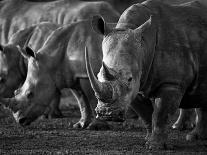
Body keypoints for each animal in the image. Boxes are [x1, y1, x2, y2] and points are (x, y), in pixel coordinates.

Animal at [85, 0, 207, 150]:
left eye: (129, 78)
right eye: (98, 76)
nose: (107, 114)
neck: (144, 46)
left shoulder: (171, 82)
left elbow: (161, 114)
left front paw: (155, 147)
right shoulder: (138, 85)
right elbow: (147, 115)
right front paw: (148, 141)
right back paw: (195, 138)